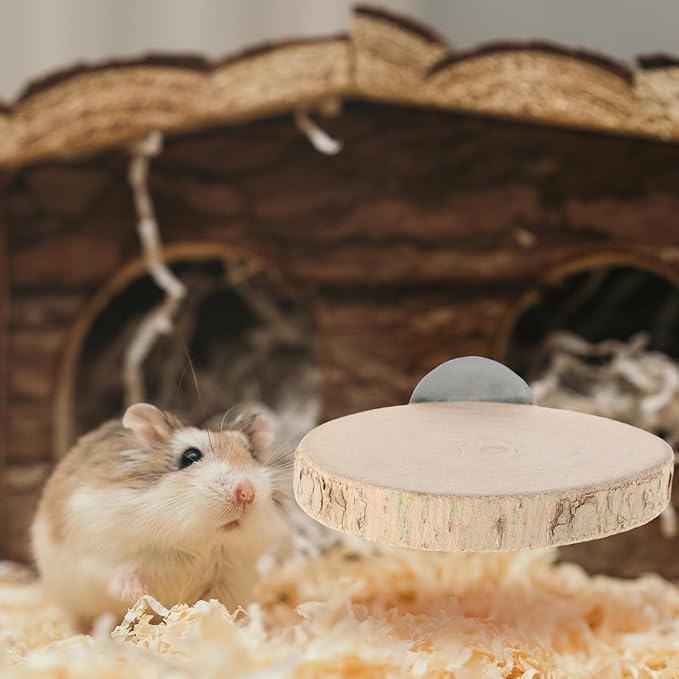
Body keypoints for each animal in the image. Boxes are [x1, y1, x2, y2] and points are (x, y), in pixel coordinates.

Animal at [31, 403, 290, 631]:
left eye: (251, 455)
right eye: (190, 456)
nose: (247, 492)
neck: (198, 542)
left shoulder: (229, 579)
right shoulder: (97, 552)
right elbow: (117, 573)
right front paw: (137, 592)